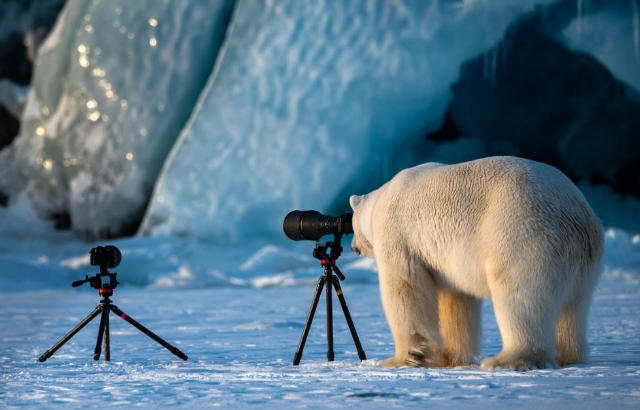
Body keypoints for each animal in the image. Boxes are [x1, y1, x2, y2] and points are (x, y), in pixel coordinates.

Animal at [350, 155, 604, 370]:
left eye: (351, 225)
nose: (353, 247)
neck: (380, 202)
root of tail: (578, 215)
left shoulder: (398, 236)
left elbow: (405, 288)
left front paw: (403, 359)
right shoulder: (446, 262)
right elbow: (456, 300)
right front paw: (450, 358)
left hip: (523, 234)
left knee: (520, 296)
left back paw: (506, 360)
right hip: (583, 262)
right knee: (574, 308)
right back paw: (569, 356)